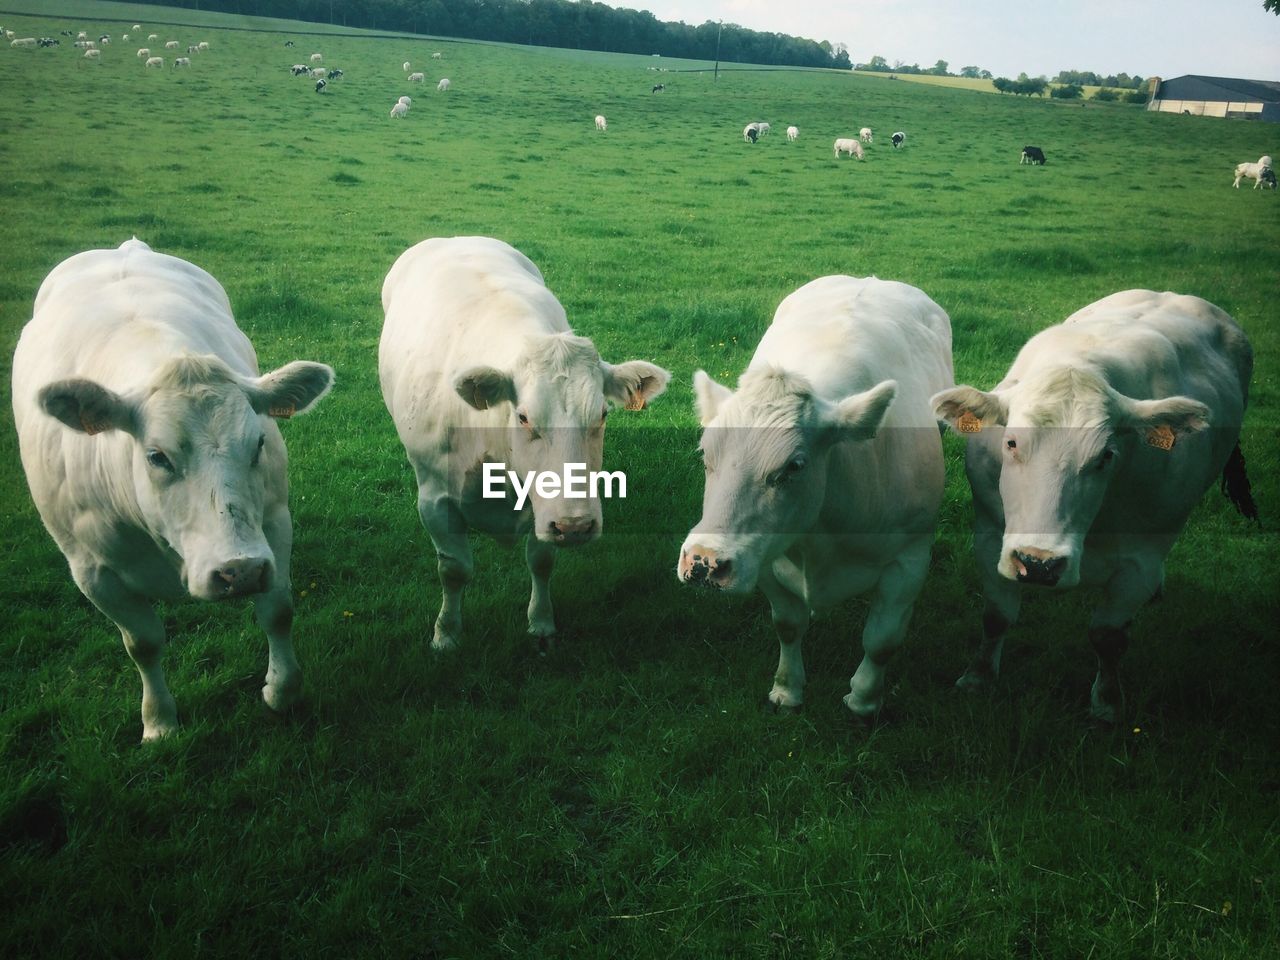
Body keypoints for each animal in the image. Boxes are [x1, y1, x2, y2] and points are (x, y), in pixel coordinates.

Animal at [10, 240, 335, 742]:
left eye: (259, 442)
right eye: (156, 456)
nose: (239, 571)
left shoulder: (274, 524)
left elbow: (277, 611)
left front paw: (281, 693)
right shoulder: (91, 570)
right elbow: (143, 643)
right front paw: (159, 723)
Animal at [376, 235, 670, 650]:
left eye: (602, 414)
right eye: (524, 417)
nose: (575, 526)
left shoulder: (544, 508)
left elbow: (541, 562)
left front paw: (541, 621)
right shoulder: (434, 499)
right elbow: (454, 570)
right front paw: (446, 633)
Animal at [675, 273, 957, 716]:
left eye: (794, 465)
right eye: (706, 453)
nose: (704, 562)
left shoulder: (910, 558)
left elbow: (882, 640)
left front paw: (864, 700)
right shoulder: (763, 552)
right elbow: (788, 625)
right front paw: (787, 690)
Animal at [936, 291, 1254, 721]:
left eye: (1106, 456)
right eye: (1011, 442)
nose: (1039, 563)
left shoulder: (1140, 559)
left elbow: (1108, 637)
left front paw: (1106, 703)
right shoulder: (989, 535)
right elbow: (996, 616)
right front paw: (978, 678)